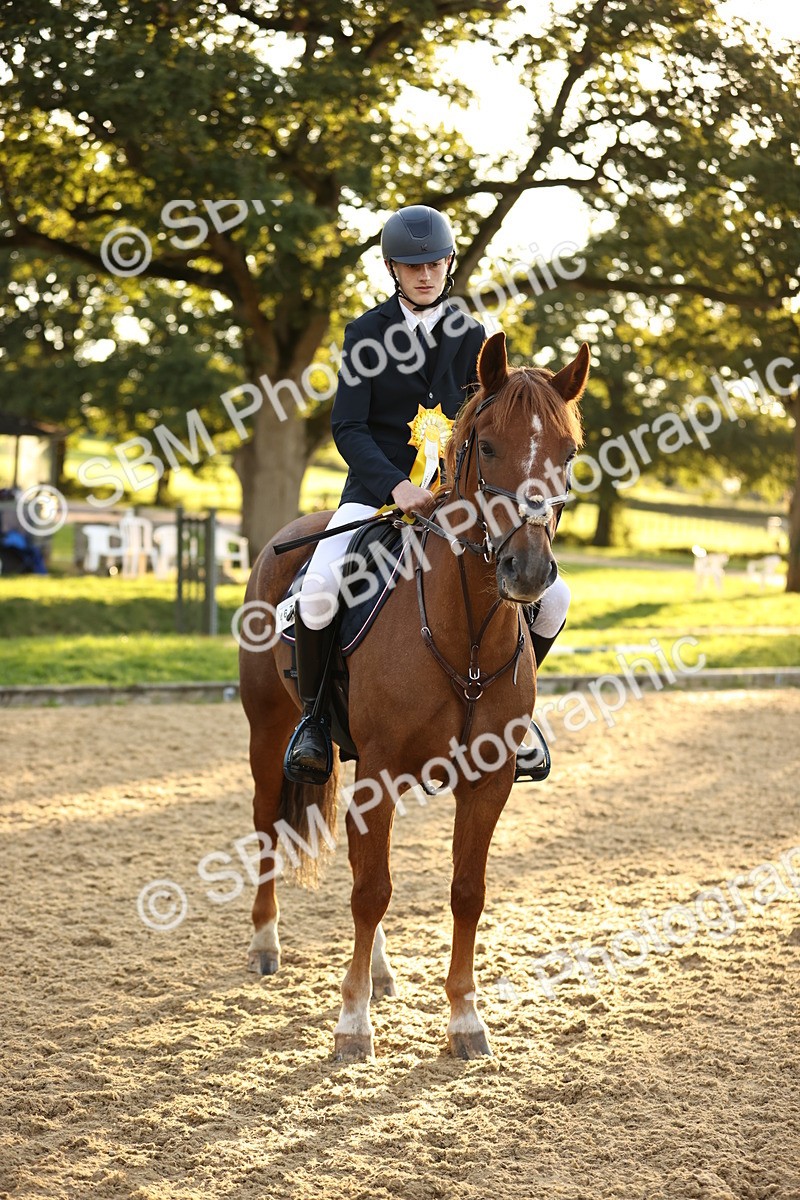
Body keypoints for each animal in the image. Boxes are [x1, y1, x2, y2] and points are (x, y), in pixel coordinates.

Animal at [238, 330, 589, 1060]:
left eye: (568, 453)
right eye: (488, 446)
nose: (528, 571)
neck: (467, 636)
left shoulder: (486, 782)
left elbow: (465, 891)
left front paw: (465, 1020)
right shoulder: (379, 775)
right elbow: (371, 890)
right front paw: (352, 1025)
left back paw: (380, 972)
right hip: (268, 730)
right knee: (266, 825)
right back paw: (265, 944)